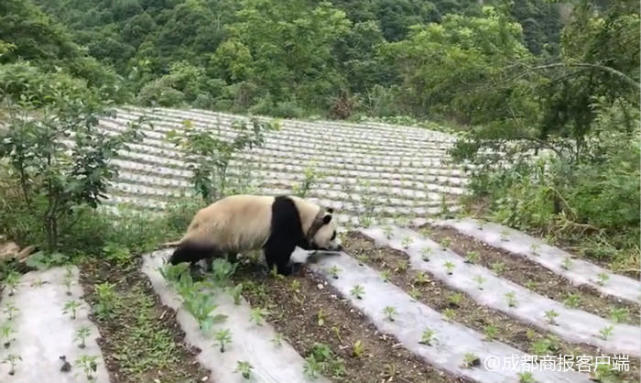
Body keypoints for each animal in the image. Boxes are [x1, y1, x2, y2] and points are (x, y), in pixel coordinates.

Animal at [168, 196, 342, 274]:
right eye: (333, 235)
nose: (340, 246)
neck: (308, 217)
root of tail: (196, 219)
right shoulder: (284, 221)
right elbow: (278, 250)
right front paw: (286, 269)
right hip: (212, 231)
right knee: (191, 250)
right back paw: (173, 264)